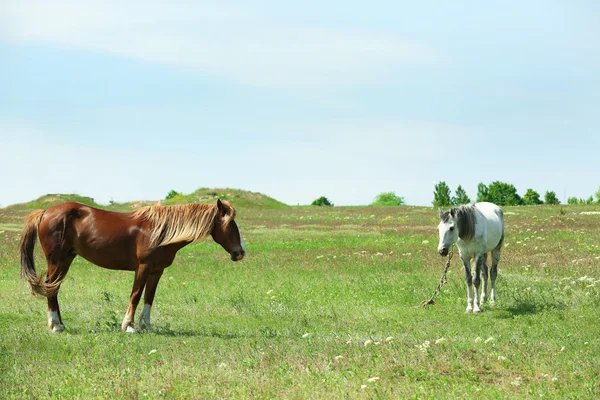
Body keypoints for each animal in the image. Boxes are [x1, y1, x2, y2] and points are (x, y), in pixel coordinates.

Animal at [19, 198, 244, 332]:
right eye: (230, 224)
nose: (241, 253)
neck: (160, 231)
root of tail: (46, 212)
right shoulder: (143, 267)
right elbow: (135, 295)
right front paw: (129, 326)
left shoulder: (157, 271)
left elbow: (149, 297)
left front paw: (147, 326)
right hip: (56, 261)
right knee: (51, 288)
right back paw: (55, 326)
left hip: (66, 259)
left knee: (53, 288)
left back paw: (60, 324)